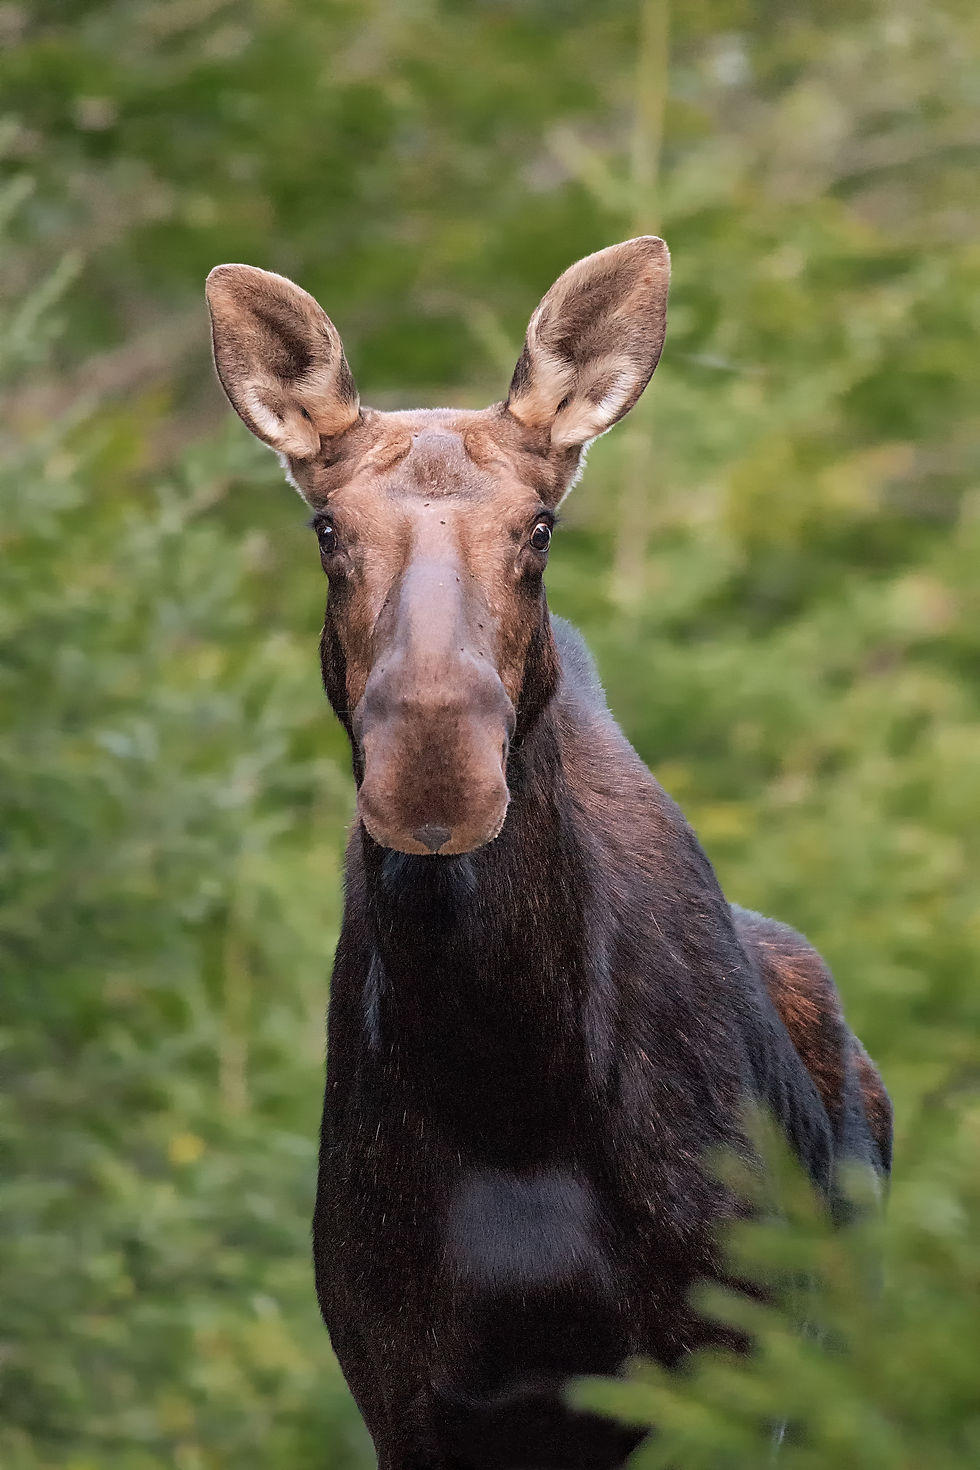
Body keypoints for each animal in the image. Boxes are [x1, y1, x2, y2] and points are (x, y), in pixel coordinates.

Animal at [206, 238, 892, 1470]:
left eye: (539, 529)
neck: (510, 1090)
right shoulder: (411, 1399)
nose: (435, 774)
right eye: (327, 531)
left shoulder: (722, 1377)